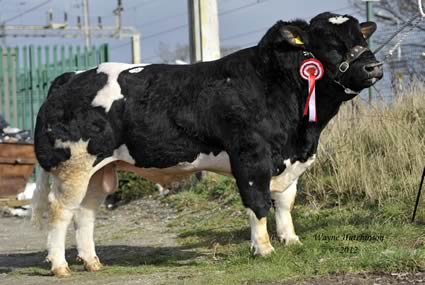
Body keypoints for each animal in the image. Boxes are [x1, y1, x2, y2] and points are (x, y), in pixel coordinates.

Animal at [33, 12, 382, 276]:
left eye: (362, 40)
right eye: (331, 44)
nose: (374, 67)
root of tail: (70, 76)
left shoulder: (289, 160)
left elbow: (285, 202)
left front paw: (291, 240)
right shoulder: (251, 157)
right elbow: (258, 202)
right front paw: (264, 249)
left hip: (99, 170)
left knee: (85, 213)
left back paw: (92, 262)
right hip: (72, 165)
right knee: (61, 211)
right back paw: (60, 266)